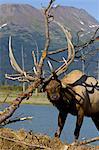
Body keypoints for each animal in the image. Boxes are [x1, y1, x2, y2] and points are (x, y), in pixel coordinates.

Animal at [5, 0, 99, 141]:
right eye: (46, 88)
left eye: (58, 86)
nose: (54, 96)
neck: (69, 100)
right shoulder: (62, 111)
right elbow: (57, 132)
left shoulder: (82, 109)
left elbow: (76, 133)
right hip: (96, 116)